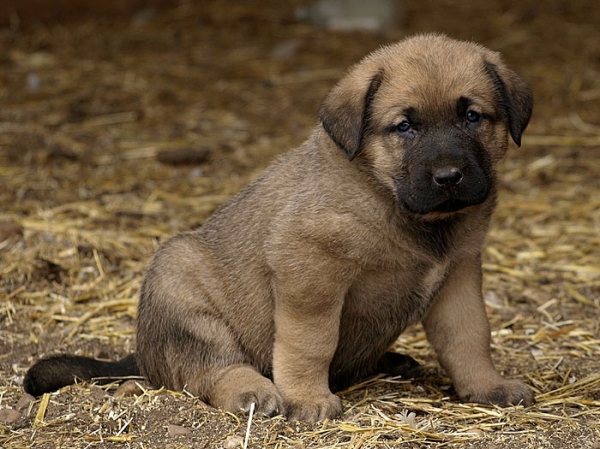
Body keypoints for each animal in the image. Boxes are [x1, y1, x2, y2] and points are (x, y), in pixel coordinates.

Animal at [24, 34, 536, 420]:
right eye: (405, 127)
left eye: (471, 116)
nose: (449, 176)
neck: (390, 198)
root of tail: (141, 355)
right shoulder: (309, 270)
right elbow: (310, 343)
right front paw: (307, 399)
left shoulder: (459, 274)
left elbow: (469, 337)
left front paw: (488, 386)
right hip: (179, 282)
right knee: (206, 369)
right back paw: (251, 391)